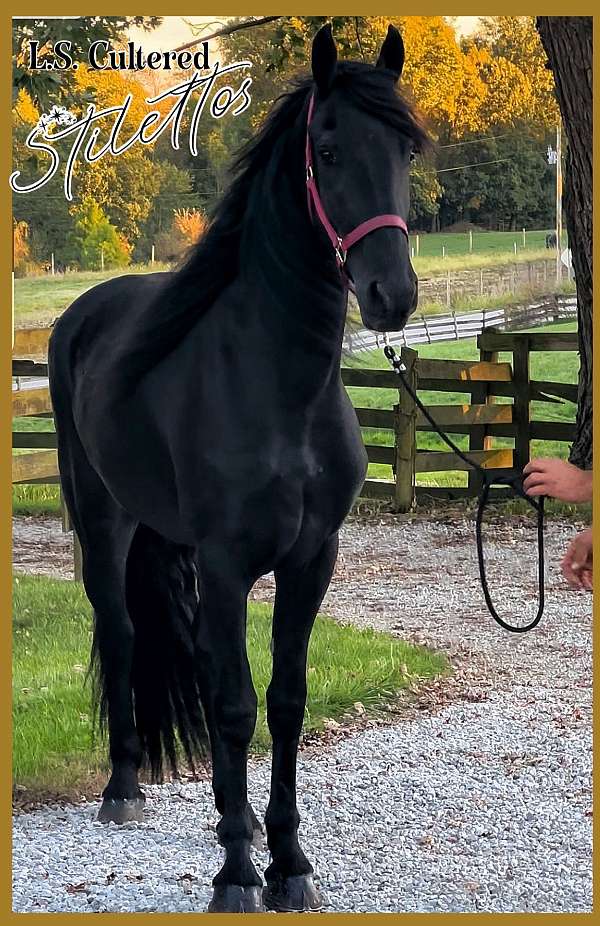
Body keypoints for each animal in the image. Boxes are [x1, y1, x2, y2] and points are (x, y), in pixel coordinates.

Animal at [48, 23, 427, 913]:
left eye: (406, 147)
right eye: (327, 149)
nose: (391, 296)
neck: (278, 385)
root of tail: (83, 315)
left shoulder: (310, 560)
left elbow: (284, 702)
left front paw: (286, 859)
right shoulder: (226, 565)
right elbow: (231, 704)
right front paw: (236, 876)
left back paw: (240, 817)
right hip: (105, 522)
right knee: (122, 632)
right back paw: (125, 788)